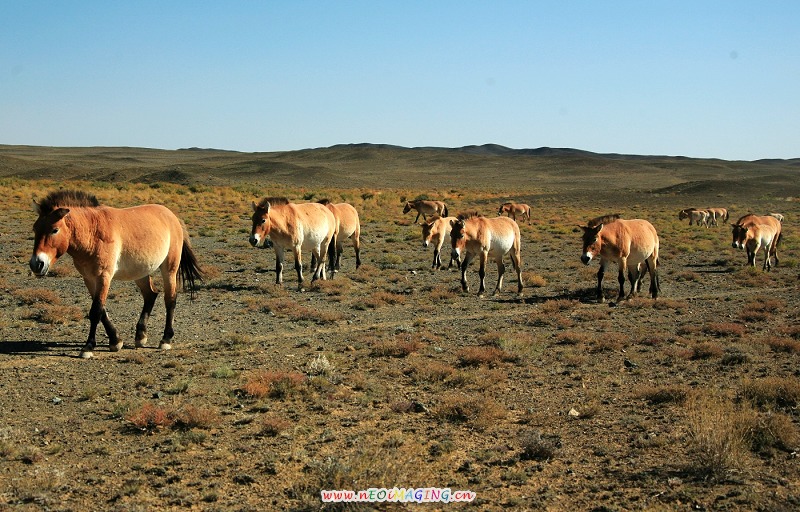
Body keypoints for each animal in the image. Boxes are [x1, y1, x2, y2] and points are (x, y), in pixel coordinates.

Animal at [29, 190, 203, 359]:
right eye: (35, 229)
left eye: (54, 230)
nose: (36, 264)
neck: (92, 232)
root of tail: (172, 216)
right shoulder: (89, 279)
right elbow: (102, 310)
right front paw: (115, 341)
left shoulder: (103, 276)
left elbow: (96, 311)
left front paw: (88, 347)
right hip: (141, 272)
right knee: (150, 295)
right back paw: (140, 336)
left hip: (170, 268)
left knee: (170, 300)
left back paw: (165, 339)